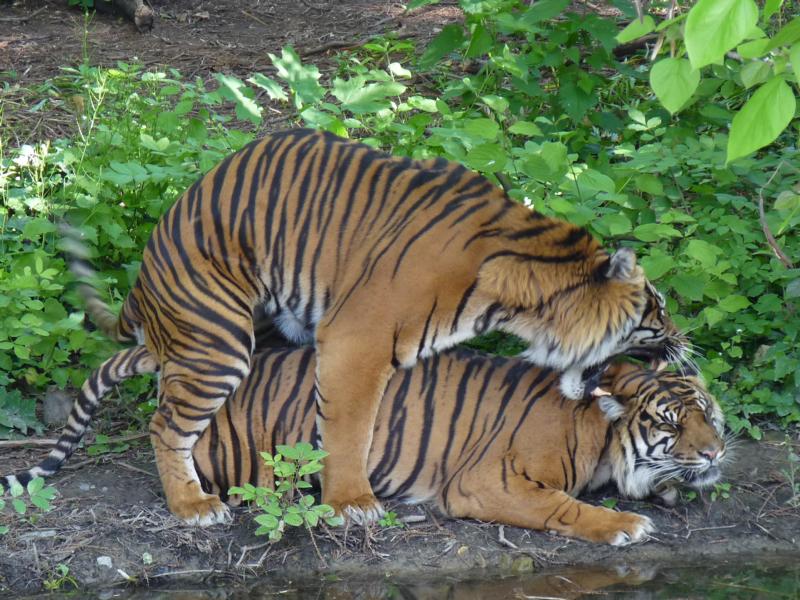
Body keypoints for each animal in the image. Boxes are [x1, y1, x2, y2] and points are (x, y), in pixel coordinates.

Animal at [3, 345, 723, 545]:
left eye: (709, 415)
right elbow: (565, 507)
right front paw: (624, 524)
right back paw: (200, 505)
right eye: (669, 423)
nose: (716, 452)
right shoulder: (489, 479)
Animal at [64, 127, 689, 525]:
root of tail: (143, 276)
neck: (520, 296)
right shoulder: (355, 341)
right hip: (217, 341)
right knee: (165, 424)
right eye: (656, 310)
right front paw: (350, 503)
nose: (685, 345)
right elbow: (350, 428)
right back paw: (193, 506)